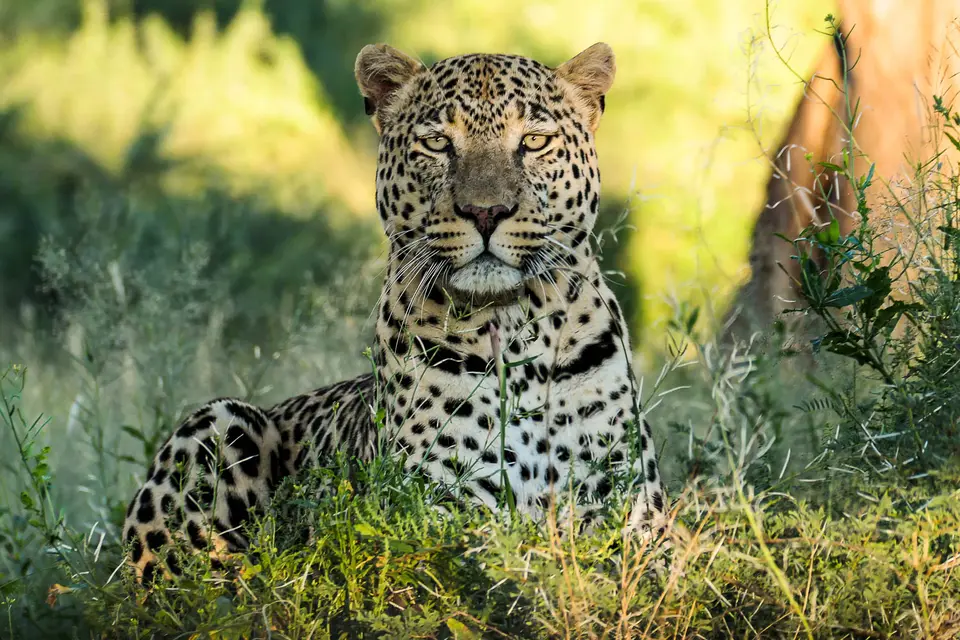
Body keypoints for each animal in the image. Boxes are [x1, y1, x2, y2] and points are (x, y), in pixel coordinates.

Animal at [121, 42, 668, 583]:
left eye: (534, 141)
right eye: (438, 143)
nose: (486, 211)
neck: (517, 336)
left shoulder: (637, 510)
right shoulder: (434, 506)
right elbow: (504, 554)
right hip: (219, 421)